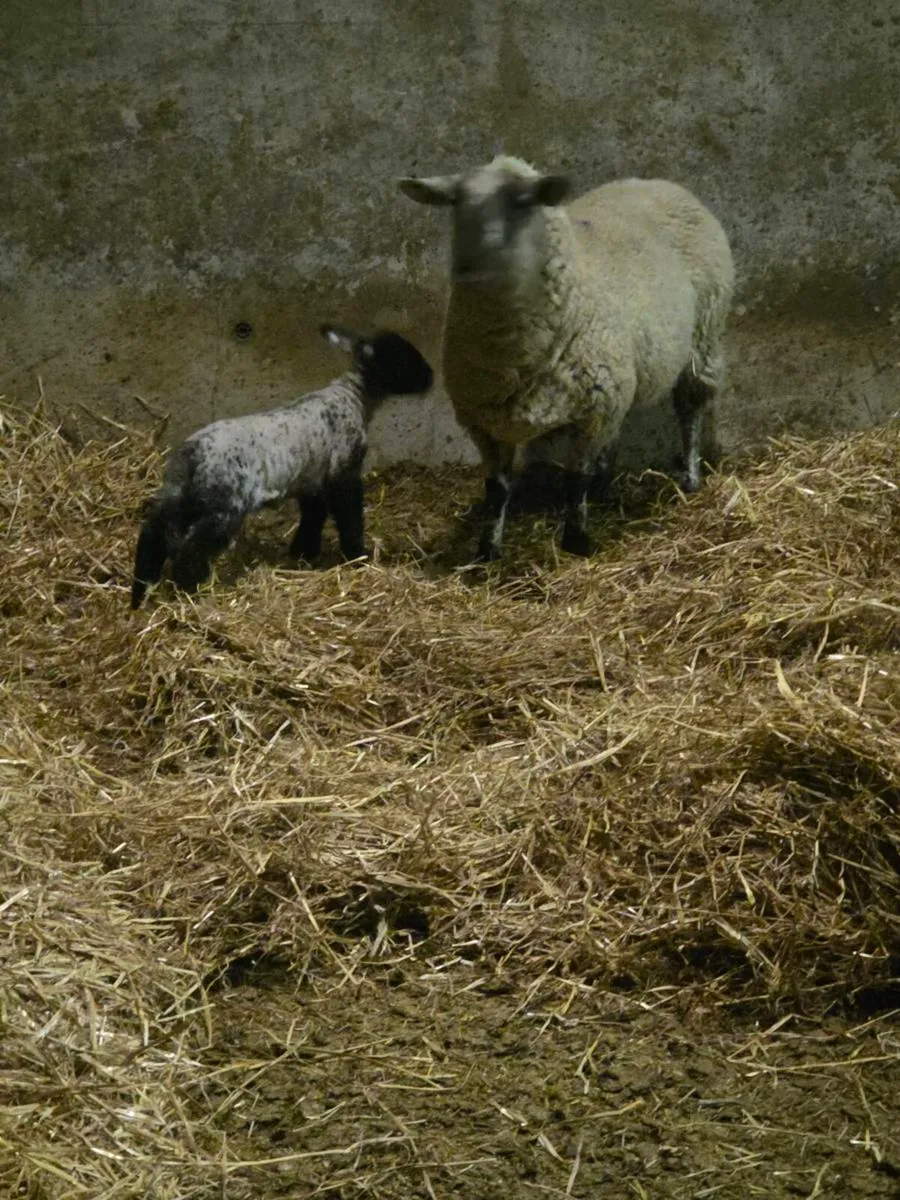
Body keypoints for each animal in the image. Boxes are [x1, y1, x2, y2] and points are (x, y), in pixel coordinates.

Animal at [130, 323, 433, 608]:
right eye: (404, 358)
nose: (430, 377)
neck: (353, 395)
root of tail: (193, 454)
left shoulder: (312, 478)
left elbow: (314, 515)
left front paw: (303, 553)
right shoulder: (343, 471)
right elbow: (349, 516)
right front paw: (357, 555)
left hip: (179, 494)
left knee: (153, 535)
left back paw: (140, 593)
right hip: (225, 504)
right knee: (193, 550)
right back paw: (189, 591)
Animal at [398, 155, 734, 561]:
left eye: (522, 202)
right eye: (454, 203)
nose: (469, 263)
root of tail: (653, 182)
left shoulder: (594, 410)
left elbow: (575, 481)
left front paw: (576, 540)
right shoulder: (483, 421)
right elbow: (497, 489)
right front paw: (487, 548)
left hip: (703, 337)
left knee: (689, 410)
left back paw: (690, 478)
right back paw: (606, 490)